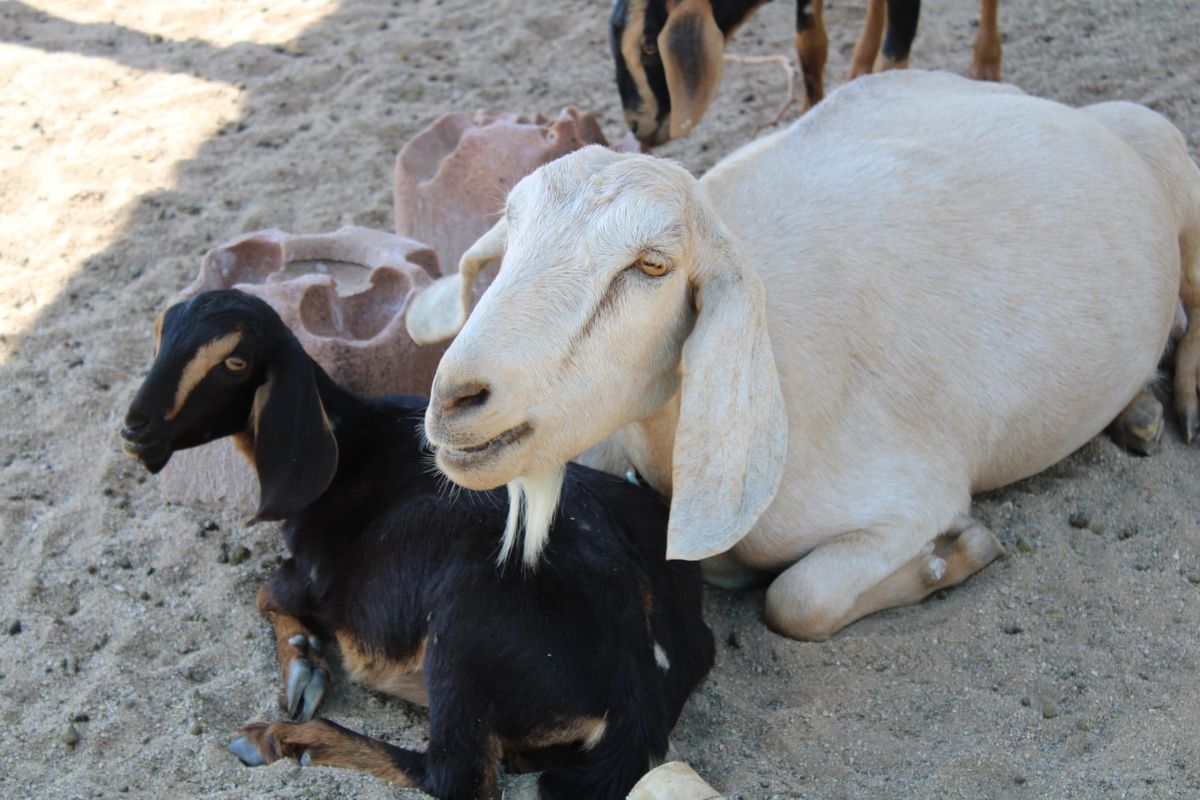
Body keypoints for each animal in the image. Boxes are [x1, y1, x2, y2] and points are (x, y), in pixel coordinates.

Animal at [120, 289, 714, 800]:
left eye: (234, 364)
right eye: (159, 336)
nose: (135, 428)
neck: (346, 442)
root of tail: (635, 685)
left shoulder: (311, 574)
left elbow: (266, 593)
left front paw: (302, 672)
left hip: (463, 634)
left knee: (455, 775)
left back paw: (283, 740)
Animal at [406, 70, 1200, 642]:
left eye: (653, 265)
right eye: (511, 224)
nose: (457, 399)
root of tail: (1052, 103)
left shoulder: (914, 494)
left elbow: (798, 600)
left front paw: (956, 554)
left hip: (1167, 149)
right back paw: (1137, 411)